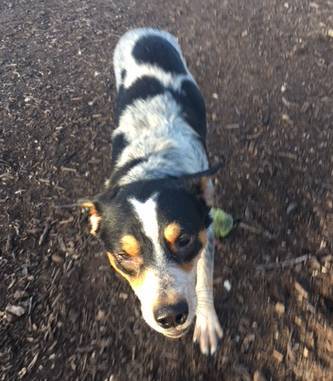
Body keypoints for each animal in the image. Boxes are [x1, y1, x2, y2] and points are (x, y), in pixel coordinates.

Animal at [79, 28, 222, 354]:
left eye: (183, 240)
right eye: (123, 255)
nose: (170, 316)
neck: (153, 165)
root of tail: (143, 31)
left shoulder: (206, 233)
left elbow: (203, 280)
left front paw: (207, 322)